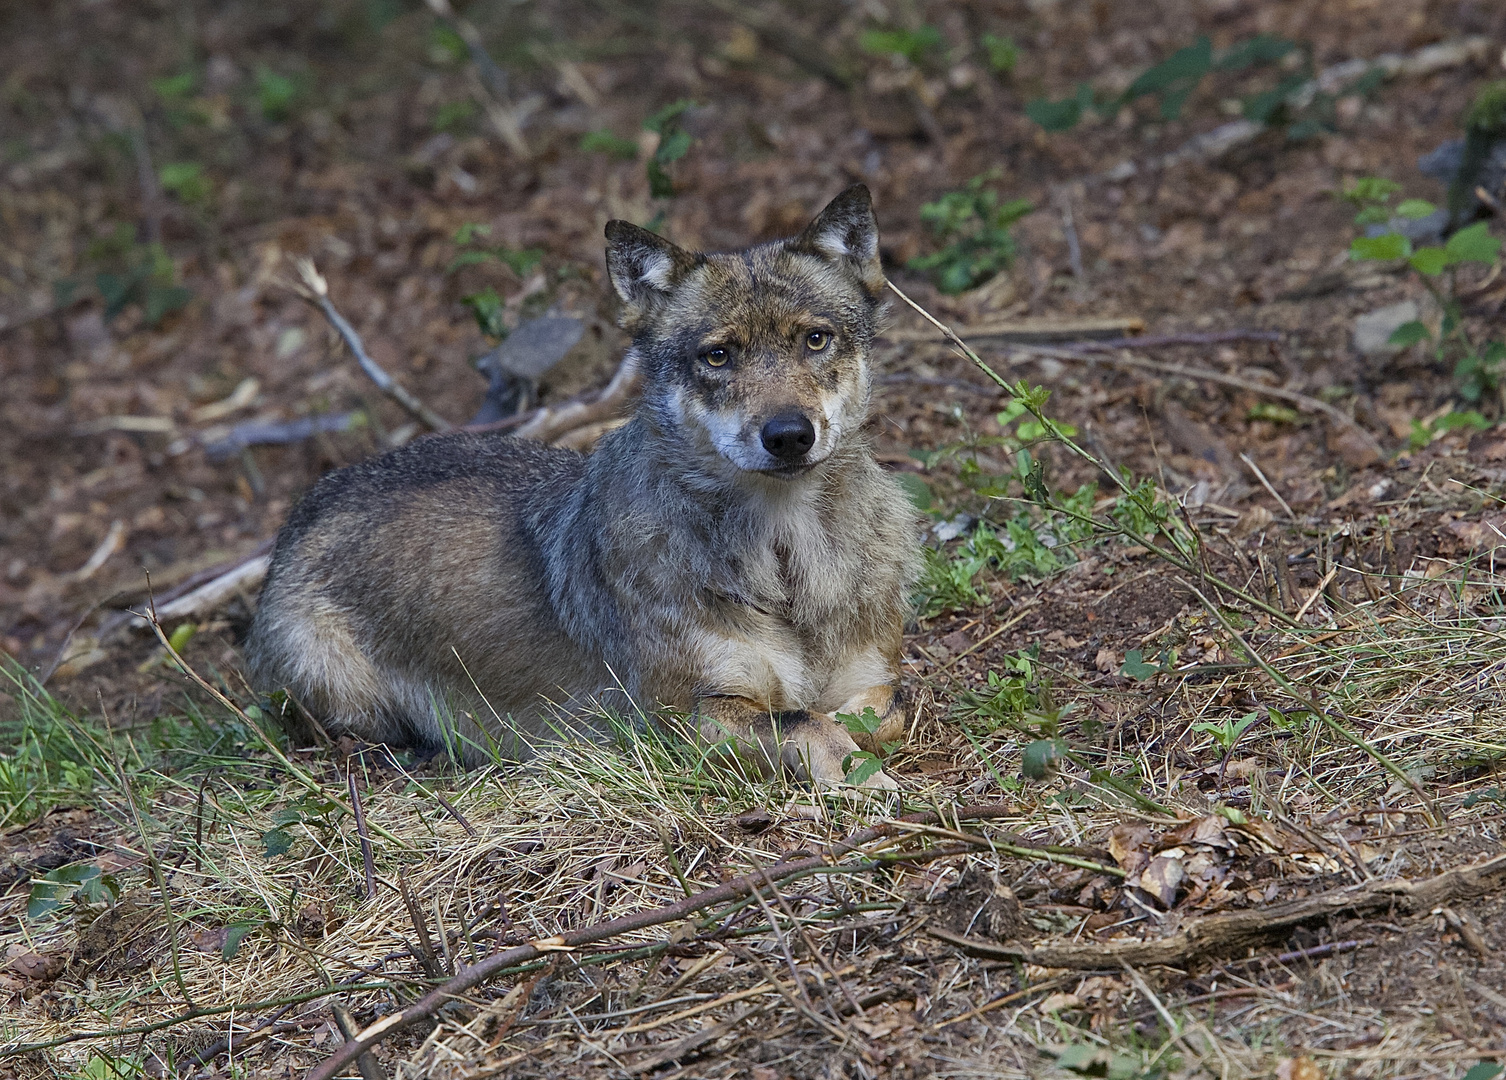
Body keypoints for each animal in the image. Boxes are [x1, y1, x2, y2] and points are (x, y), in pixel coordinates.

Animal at [246, 185, 915, 789]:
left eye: (815, 339)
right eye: (718, 356)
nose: (788, 435)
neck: (786, 561)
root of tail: (307, 506)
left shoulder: (871, 677)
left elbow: (888, 707)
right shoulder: (677, 720)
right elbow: (804, 721)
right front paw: (865, 778)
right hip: (346, 699)